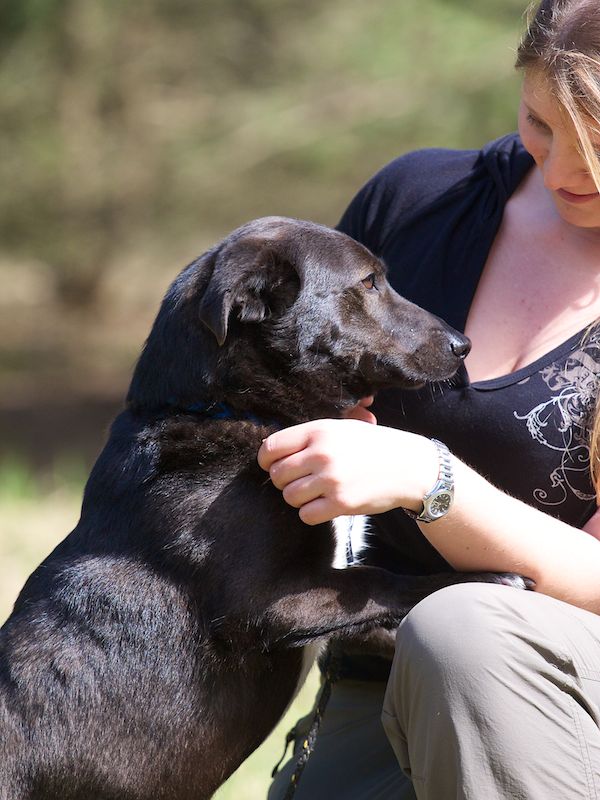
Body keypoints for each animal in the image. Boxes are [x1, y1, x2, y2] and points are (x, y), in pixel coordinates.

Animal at [0, 217, 529, 799]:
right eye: (369, 282)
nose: (464, 345)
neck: (231, 408)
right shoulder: (263, 603)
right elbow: (376, 578)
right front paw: (491, 579)